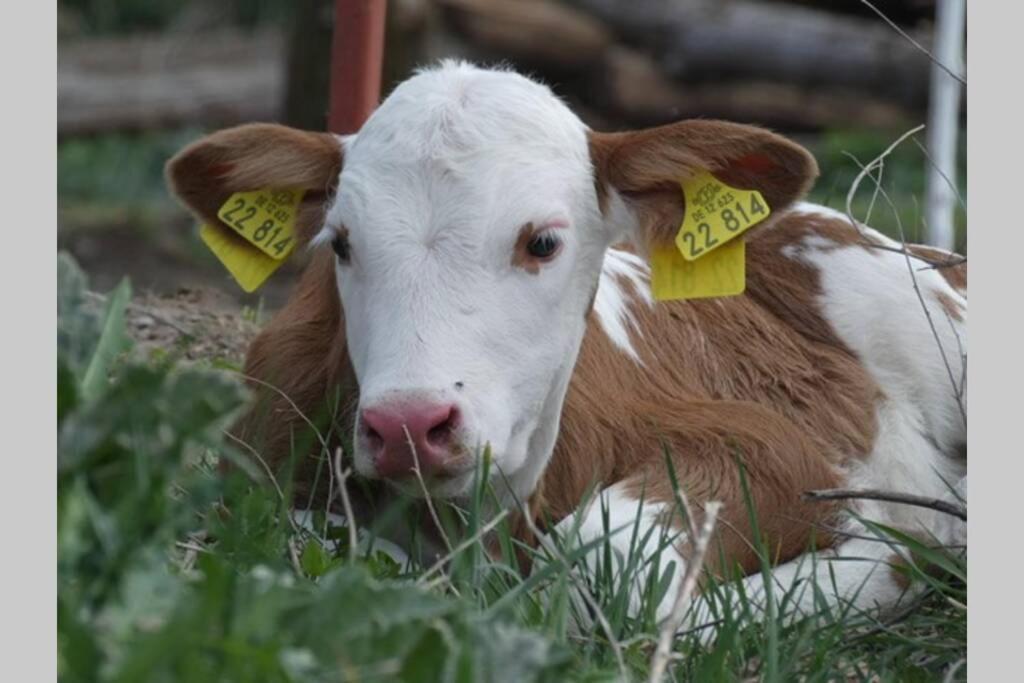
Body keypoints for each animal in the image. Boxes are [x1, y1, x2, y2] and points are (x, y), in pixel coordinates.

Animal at [167, 61, 966, 634]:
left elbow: (599, 567)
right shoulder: (258, 477)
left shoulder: (777, 450)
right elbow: (307, 550)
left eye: (543, 241)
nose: (408, 425)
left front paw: (881, 564)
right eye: (341, 242)